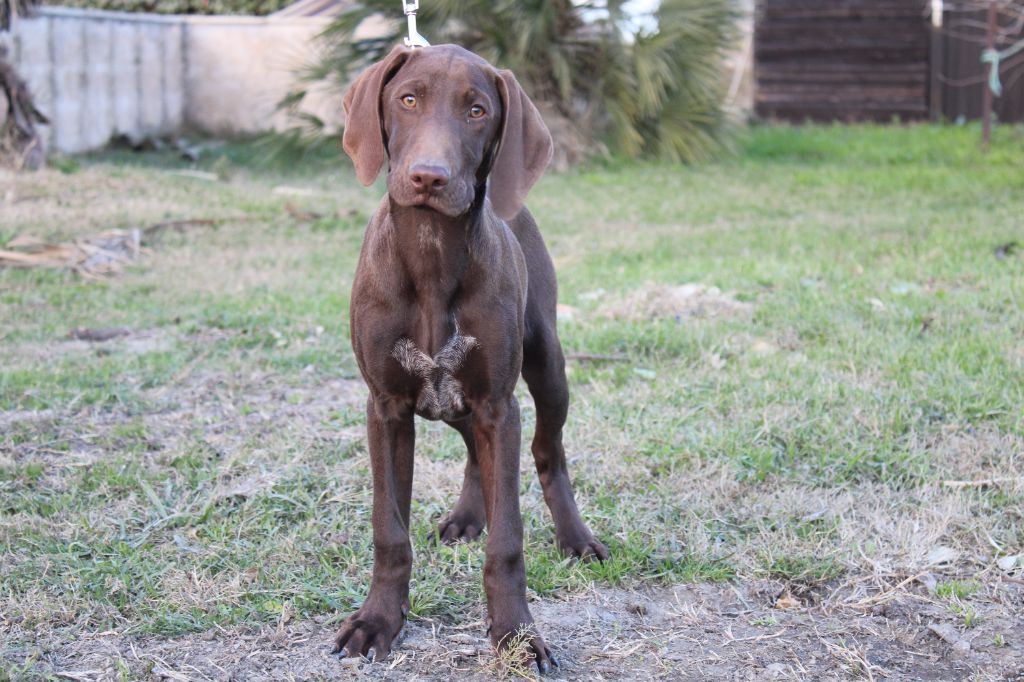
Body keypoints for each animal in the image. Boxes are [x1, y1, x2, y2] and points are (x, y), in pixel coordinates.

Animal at [335, 45, 606, 671]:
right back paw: (467, 516)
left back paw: (574, 536)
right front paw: (378, 619)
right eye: (408, 99)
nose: (428, 176)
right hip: (453, 400)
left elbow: (508, 539)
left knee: (548, 452)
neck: (432, 252)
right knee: (473, 457)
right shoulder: (386, 407)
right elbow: (389, 529)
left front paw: (517, 633)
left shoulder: (497, 407)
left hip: (546, 368)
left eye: (477, 111)